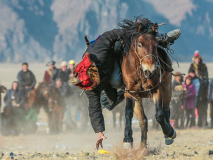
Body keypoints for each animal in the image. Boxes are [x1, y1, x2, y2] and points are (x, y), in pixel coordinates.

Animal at [120, 16, 176, 148]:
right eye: (140, 44)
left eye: (156, 45)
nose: (149, 71)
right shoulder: (130, 93)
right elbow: (128, 113)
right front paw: (127, 140)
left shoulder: (157, 89)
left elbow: (159, 115)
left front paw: (169, 132)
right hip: (138, 98)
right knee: (143, 120)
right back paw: (142, 146)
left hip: (167, 87)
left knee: (166, 109)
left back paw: (168, 135)